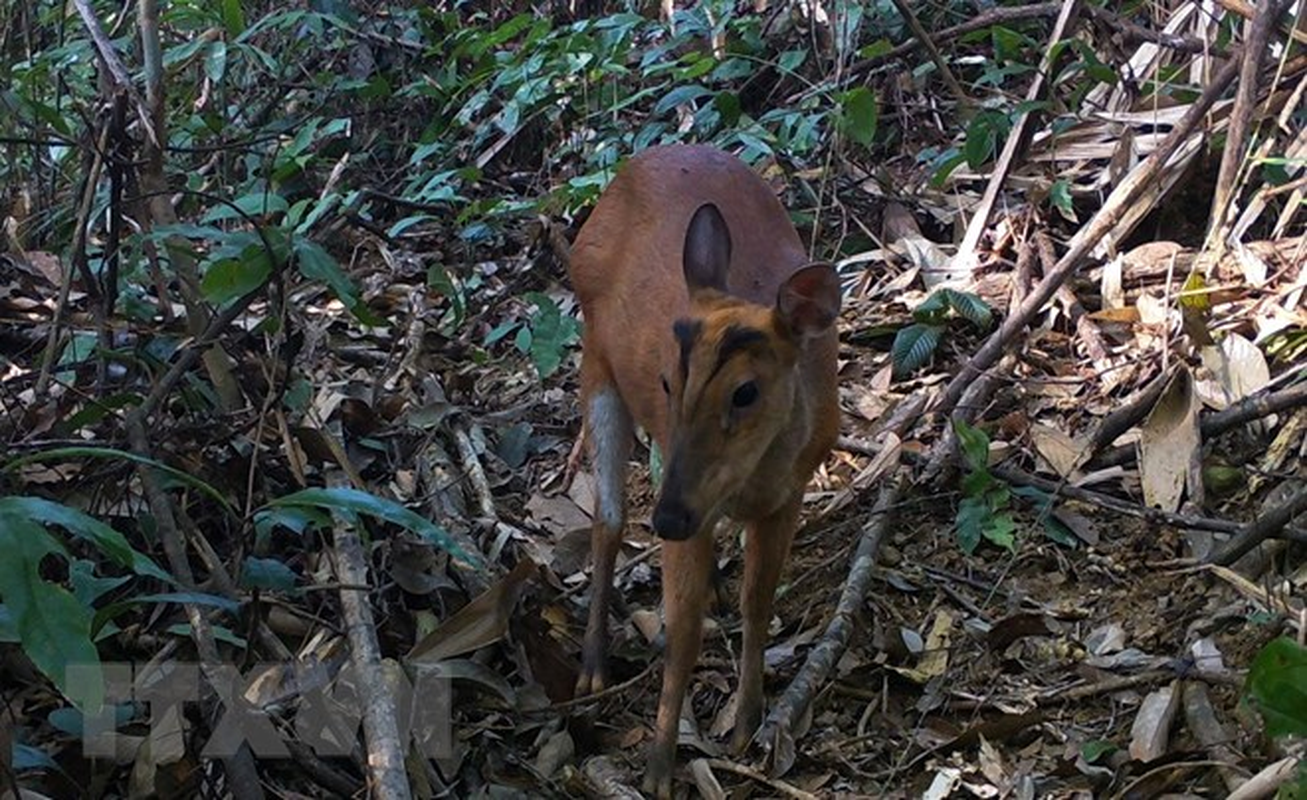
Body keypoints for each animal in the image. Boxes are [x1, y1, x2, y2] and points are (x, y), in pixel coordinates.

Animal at [569, 143, 836, 794]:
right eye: (667, 380)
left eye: (745, 392)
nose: (666, 519)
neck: (749, 478)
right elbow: (683, 634)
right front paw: (659, 768)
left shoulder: (789, 492)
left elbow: (758, 602)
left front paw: (749, 722)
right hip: (595, 360)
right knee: (608, 519)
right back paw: (592, 668)